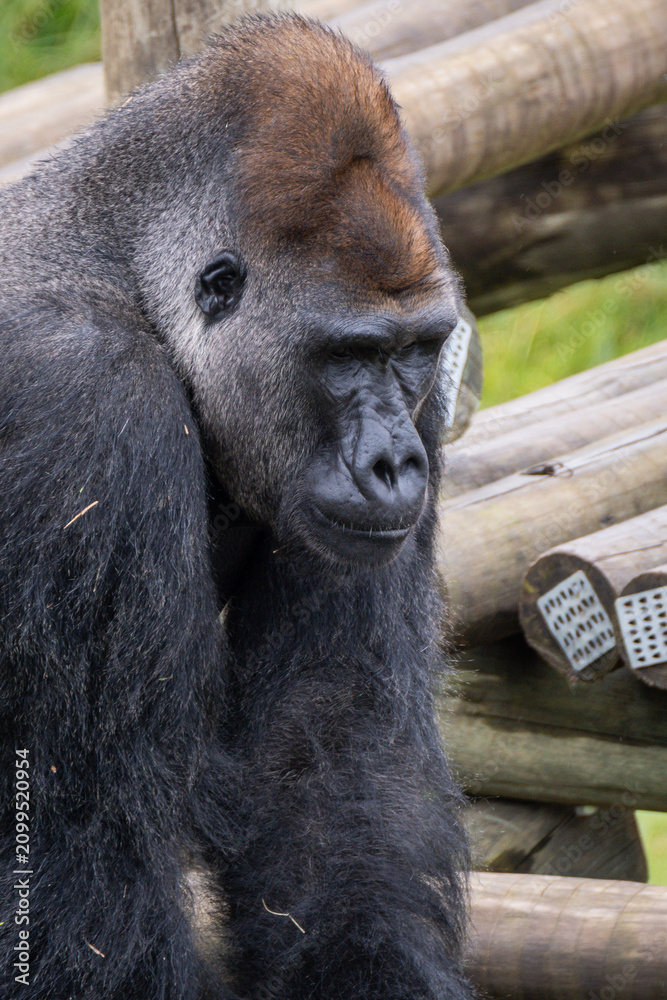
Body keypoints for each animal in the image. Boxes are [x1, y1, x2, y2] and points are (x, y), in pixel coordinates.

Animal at [0, 13, 473, 1000]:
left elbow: (328, 754)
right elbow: (76, 863)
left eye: (413, 350)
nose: (396, 463)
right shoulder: (89, 406)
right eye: (346, 355)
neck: (125, 272)